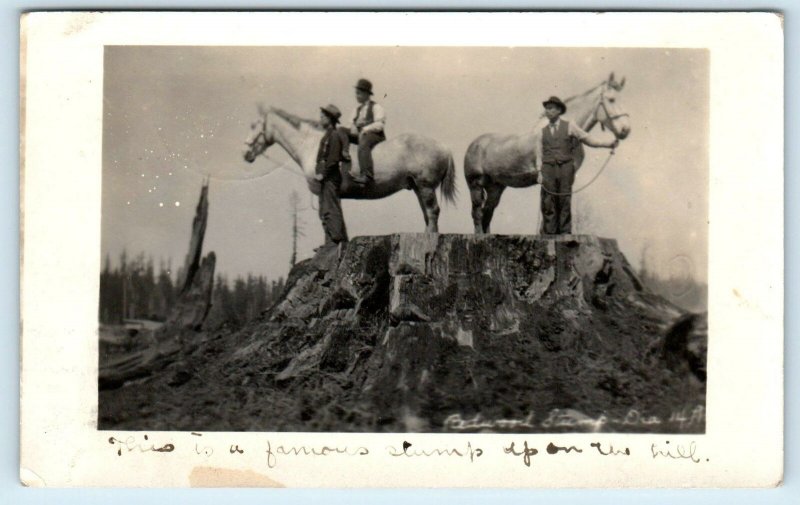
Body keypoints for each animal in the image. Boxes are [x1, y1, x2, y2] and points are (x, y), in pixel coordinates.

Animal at [242, 107, 456, 233]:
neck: (313, 144)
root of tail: (444, 147)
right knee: (427, 214)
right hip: (418, 188)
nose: (245, 153)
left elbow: (328, 216)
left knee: (432, 212)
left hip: (425, 187)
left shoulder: (325, 190)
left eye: (254, 125)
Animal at [462, 72, 632, 233]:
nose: (625, 130)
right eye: (611, 99)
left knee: (487, 214)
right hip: (475, 185)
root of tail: (474, 144)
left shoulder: (568, 177)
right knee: (477, 214)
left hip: (495, 187)